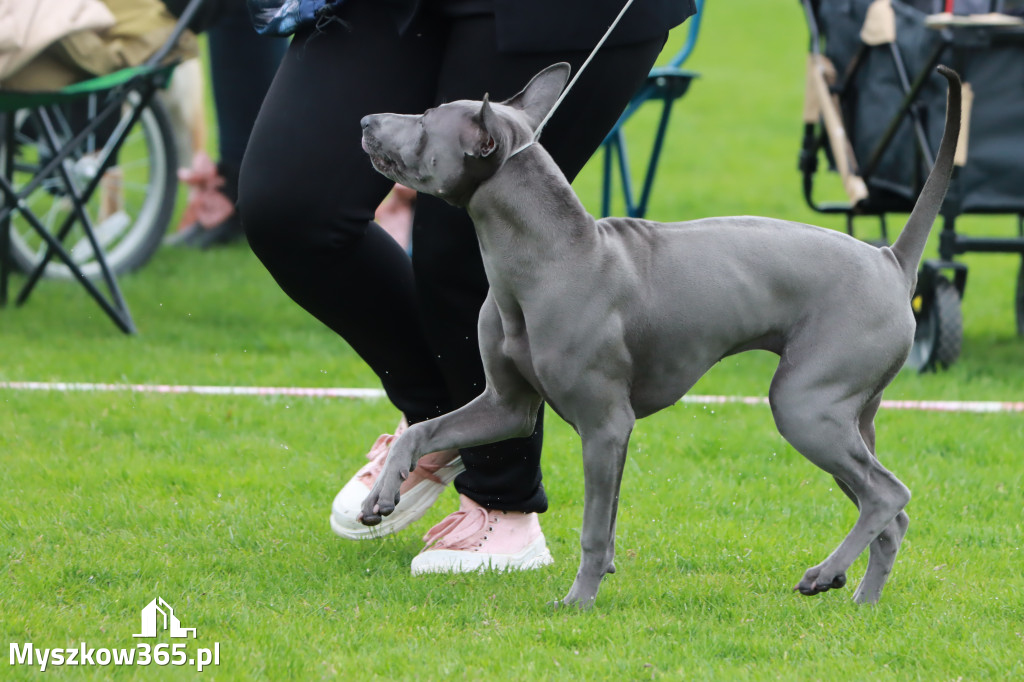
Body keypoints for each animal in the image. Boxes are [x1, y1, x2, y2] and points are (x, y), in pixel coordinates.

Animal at [354, 62, 958, 606]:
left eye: (426, 119)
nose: (364, 118)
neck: (552, 257)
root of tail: (890, 259)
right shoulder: (507, 407)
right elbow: (422, 431)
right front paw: (382, 493)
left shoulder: (605, 426)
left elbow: (594, 528)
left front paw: (579, 601)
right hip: (848, 419)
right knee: (892, 515)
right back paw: (862, 600)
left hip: (805, 408)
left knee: (887, 494)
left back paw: (823, 573)